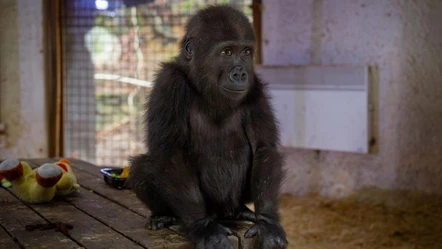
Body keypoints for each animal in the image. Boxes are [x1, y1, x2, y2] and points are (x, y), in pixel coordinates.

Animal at [127, 4, 286, 249]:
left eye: (246, 52)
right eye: (227, 52)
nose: (240, 73)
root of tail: (222, 212)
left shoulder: (256, 87)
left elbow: (264, 148)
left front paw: (268, 222)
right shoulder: (168, 83)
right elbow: (171, 153)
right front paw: (202, 228)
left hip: (234, 202)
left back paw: (241, 211)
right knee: (141, 166)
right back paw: (166, 215)